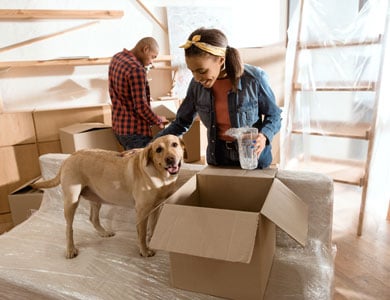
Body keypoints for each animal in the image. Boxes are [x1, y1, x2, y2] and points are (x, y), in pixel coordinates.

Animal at [31, 135, 184, 258]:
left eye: (174, 144)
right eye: (158, 149)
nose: (170, 159)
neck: (160, 174)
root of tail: (69, 157)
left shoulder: (157, 207)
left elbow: (153, 227)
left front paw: (152, 240)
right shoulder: (142, 211)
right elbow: (141, 234)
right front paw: (144, 251)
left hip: (96, 198)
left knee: (92, 218)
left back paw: (103, 232)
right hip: (71, 201)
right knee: (69, 228)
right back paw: (70, 249)